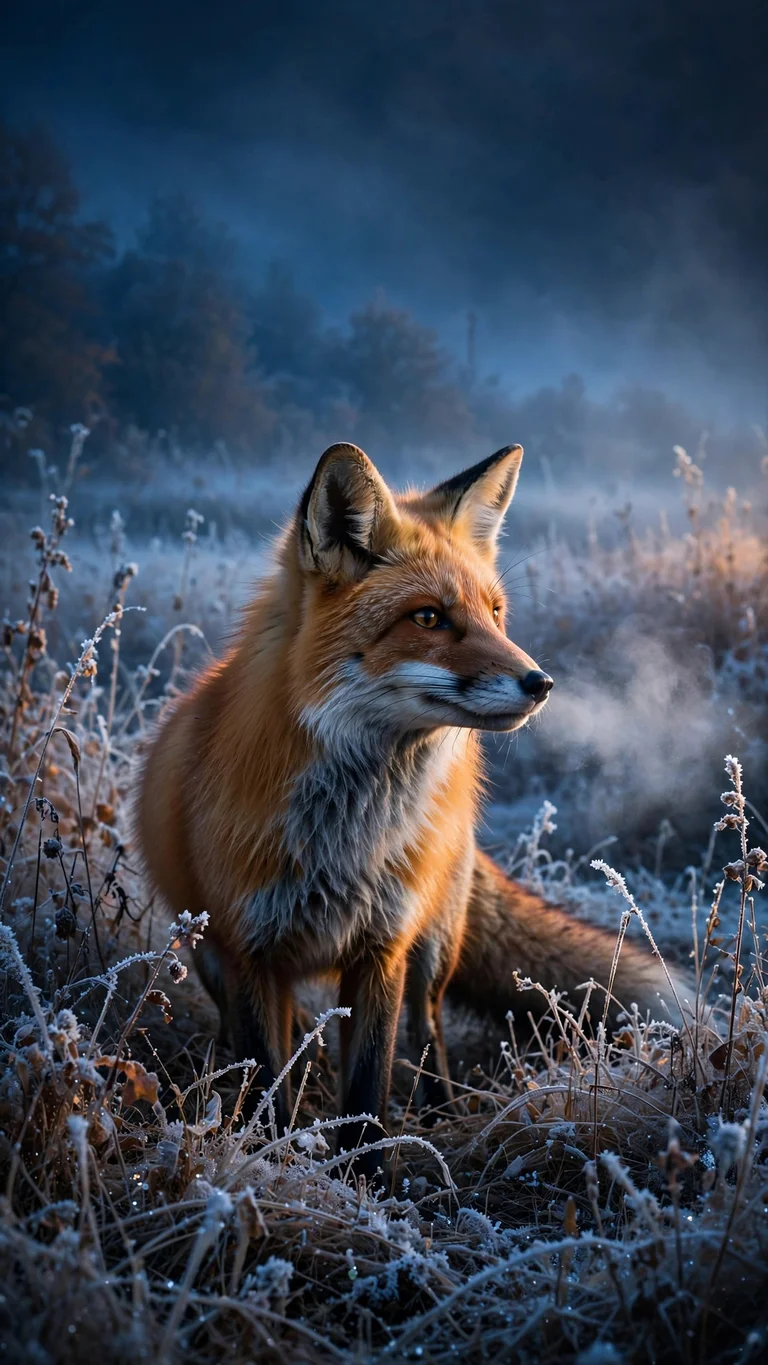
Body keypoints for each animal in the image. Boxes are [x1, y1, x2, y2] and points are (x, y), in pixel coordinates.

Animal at [137, 442, 685, 1170]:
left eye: (495, 613)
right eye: (428, 617)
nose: (541, 683)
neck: (343, 838)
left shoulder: (383, 948)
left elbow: (369, 1085)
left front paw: (364, 1177)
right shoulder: (246, 949)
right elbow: (264, 1081)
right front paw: (272, 1159)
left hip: (434, 942)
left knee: (428, 1032)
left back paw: (441, 1115)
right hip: (212, 958)